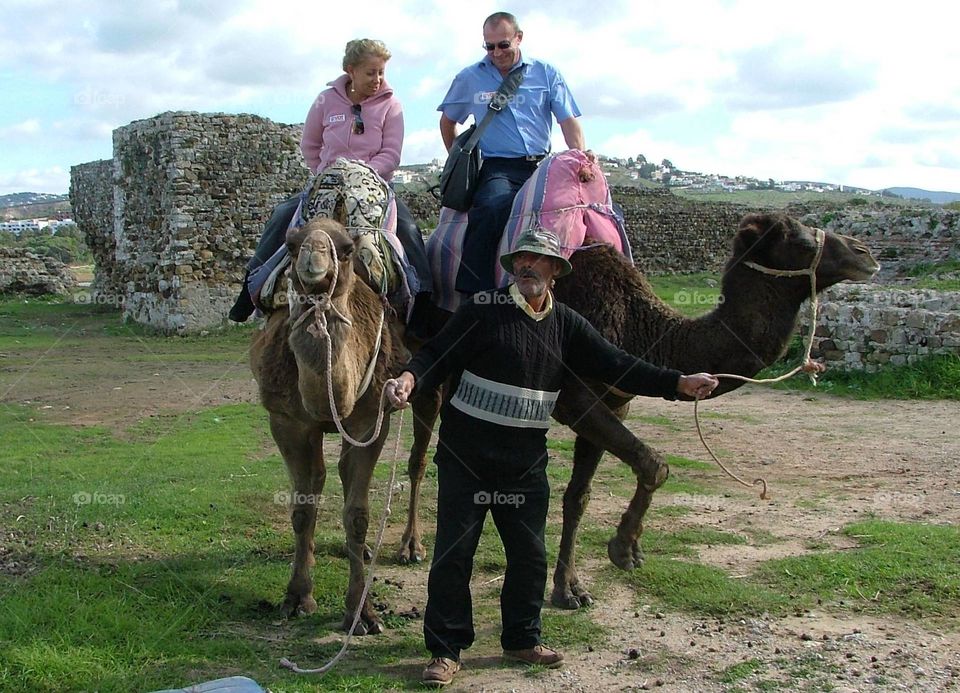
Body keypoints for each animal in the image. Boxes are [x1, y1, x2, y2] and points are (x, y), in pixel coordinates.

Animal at [249, 217, 435, 634]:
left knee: (416, 462)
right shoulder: (286, 420)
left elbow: (358, 515)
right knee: (323, 478)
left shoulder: (370, 422)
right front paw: (297, 596)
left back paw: (410, 546)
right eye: (291, 243)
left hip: (430, 388)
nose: (313, 256)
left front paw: (361, 614)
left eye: (347, 249)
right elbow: (303, 507)